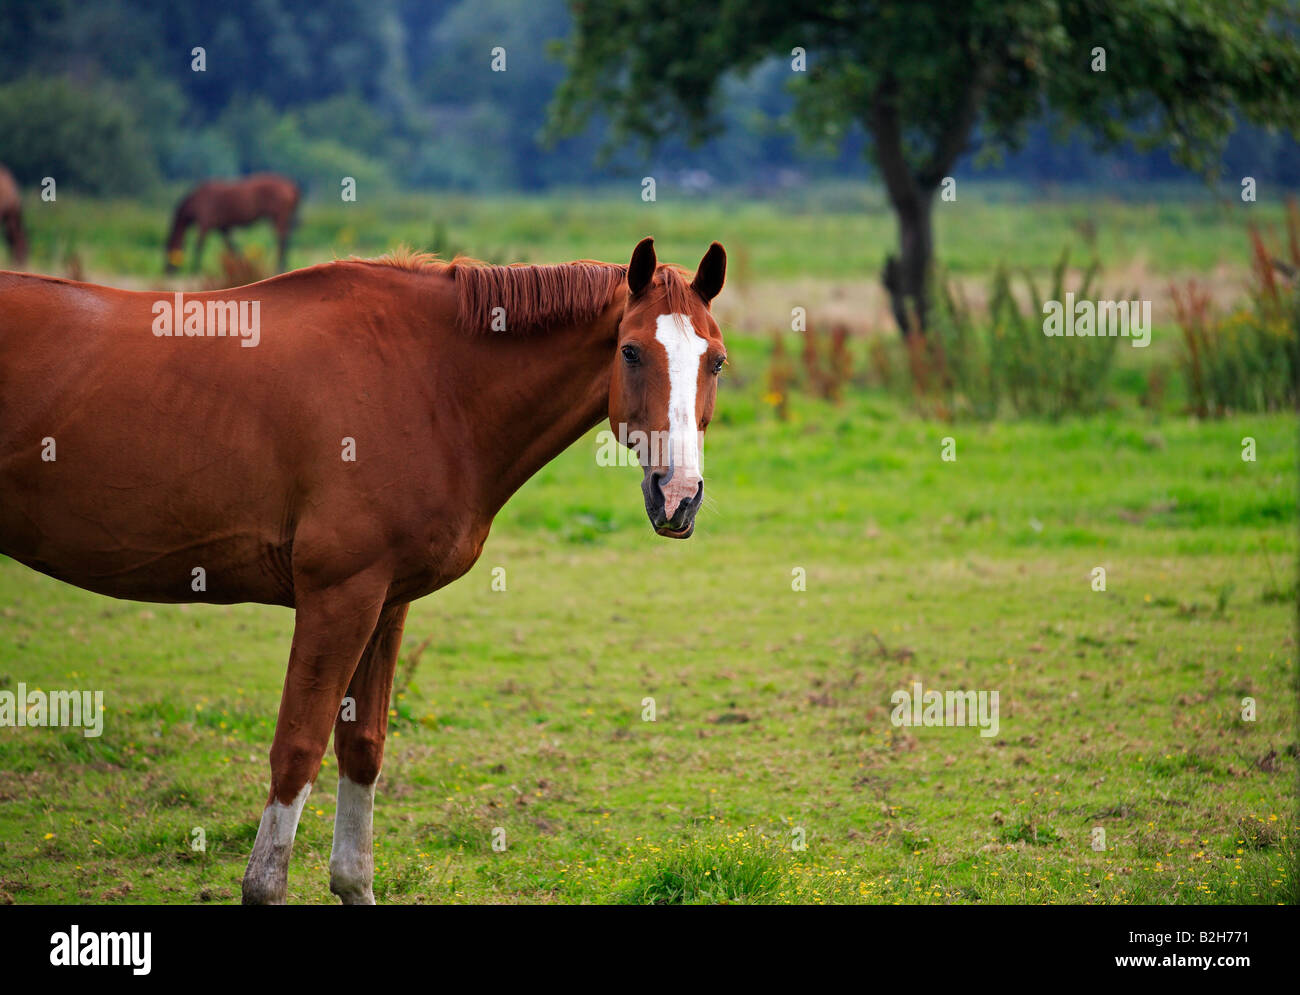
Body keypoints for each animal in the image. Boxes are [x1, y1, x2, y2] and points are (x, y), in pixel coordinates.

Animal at [0, 236, 726, 904]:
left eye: (715, 359)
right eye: (630, 351)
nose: (678, 495)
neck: (429, 380)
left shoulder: (385, 603)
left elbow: (363, 749)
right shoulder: (338, 597)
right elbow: (297, 751)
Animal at [164, 173, 300, 274]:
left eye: (169, 248)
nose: (167, 270)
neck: (197, 200)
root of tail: (291, 185)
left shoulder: (205, 224)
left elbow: (199, 245)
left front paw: (195, 268)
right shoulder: (223, 228)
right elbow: (232, 247)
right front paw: (241, 266)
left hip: (278, 217)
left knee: (281, 239)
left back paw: (280, 267)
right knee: (284, 239)